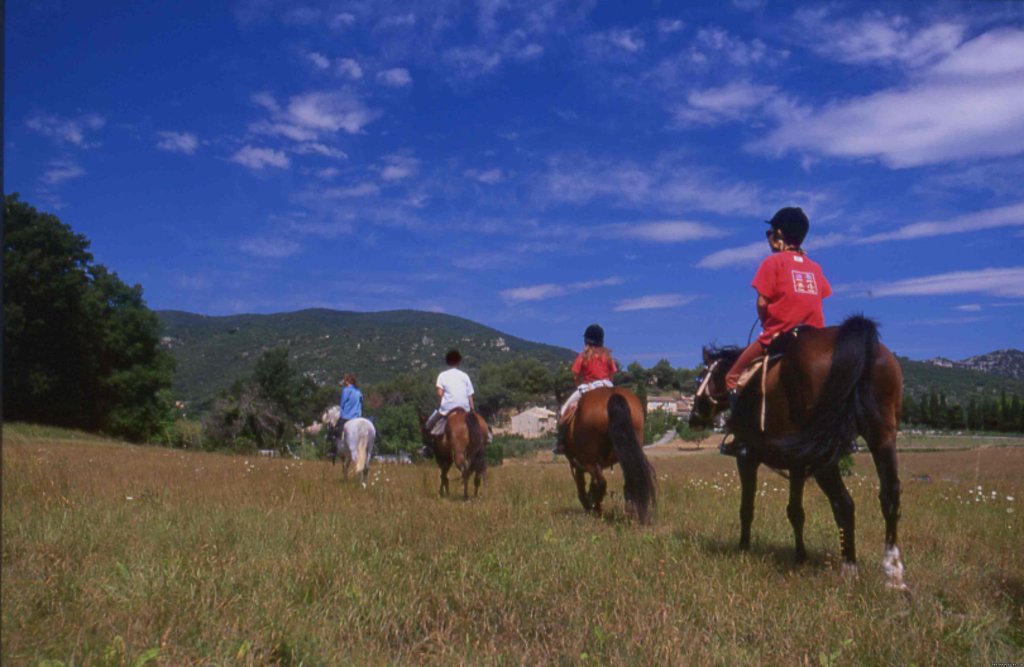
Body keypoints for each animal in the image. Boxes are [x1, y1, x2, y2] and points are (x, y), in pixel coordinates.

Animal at [561, 389, 655, 524]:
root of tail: (613, 394)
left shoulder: (579, 462)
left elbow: (582, 483)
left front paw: (589, 504)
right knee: (631, 480)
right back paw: (633, 515)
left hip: (589, 460)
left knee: (599, 482)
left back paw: (594, 508)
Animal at [688, 315, 905, 586]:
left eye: (700, 378)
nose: (693, 417)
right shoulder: (797, 465)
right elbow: (795, 512)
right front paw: (800, 557)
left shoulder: (746, 458)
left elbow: (747, 507)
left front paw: (743, 548)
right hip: (881, 438)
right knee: (890, 495)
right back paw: (893, 571)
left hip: (825, 454)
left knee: (844, 503)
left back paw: (849, 568)